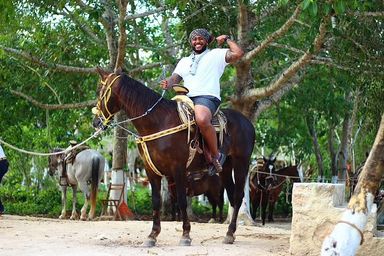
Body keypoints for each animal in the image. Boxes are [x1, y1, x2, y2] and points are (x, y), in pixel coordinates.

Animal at [92, 67, 255, 246]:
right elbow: (156, 201)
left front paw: (186, 235)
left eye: (100, 92)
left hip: (241, 163)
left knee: (238, 196)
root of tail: (247, 122)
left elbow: (182, 200)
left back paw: (230, 232)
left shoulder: (178, 168)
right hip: (225, 168)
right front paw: (152, 235)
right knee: (231, 196)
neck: (158, 122)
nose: (95, 122)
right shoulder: (151, 170)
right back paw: (229, 233)